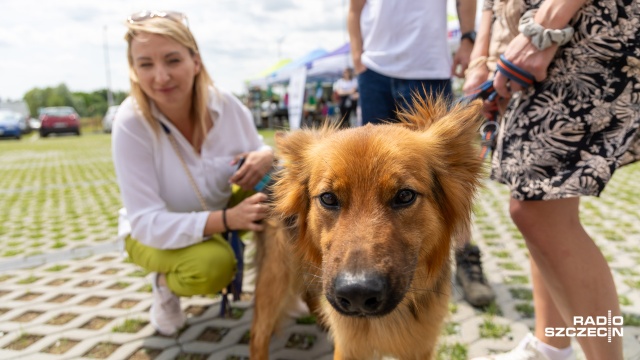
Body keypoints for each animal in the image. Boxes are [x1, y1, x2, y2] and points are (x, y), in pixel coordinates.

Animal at [248, 98, 482, 360]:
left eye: (405, 195)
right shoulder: (349, 345)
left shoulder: (420, 346)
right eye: (328, 198)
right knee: (258, 334)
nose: (356, 294)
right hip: (276, 275)